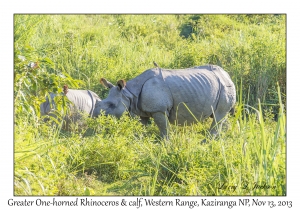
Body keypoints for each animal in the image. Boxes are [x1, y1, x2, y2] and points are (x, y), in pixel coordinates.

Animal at [95, 65, 236, 139]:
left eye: (112, 105)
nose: (97, 116)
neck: (129, 93)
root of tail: (227, 75)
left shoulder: (159, 110)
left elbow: (164, 129)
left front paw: (166, 145)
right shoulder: (141, 110)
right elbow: (140, 126)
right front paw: (137, 139)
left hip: (225, 87)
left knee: (218, 116)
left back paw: (206, 142)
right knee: (221, 116)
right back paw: (223, 139)